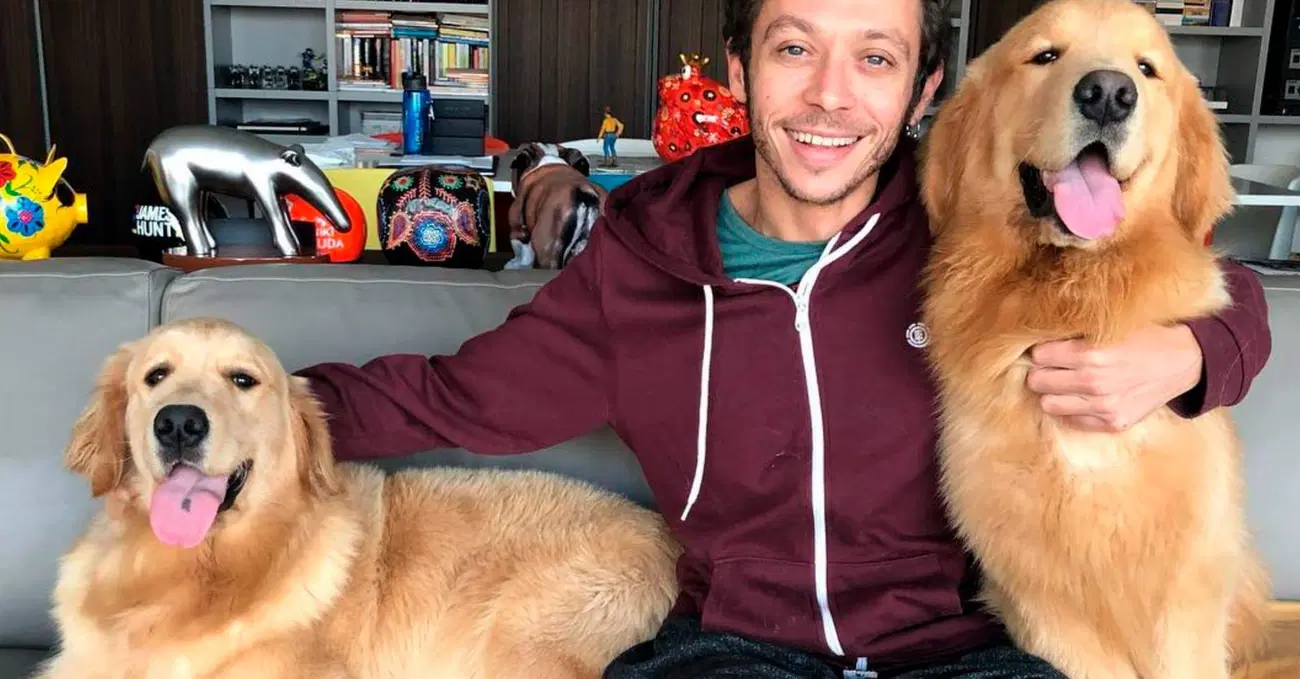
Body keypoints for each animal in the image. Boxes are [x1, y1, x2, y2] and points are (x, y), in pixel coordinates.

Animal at [917, 1, 1271, 677]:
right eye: (1045, 55)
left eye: (1147, 68)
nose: (1108, 93)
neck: (1074, 301)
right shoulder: (1043, 602)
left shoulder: (1185, 596)